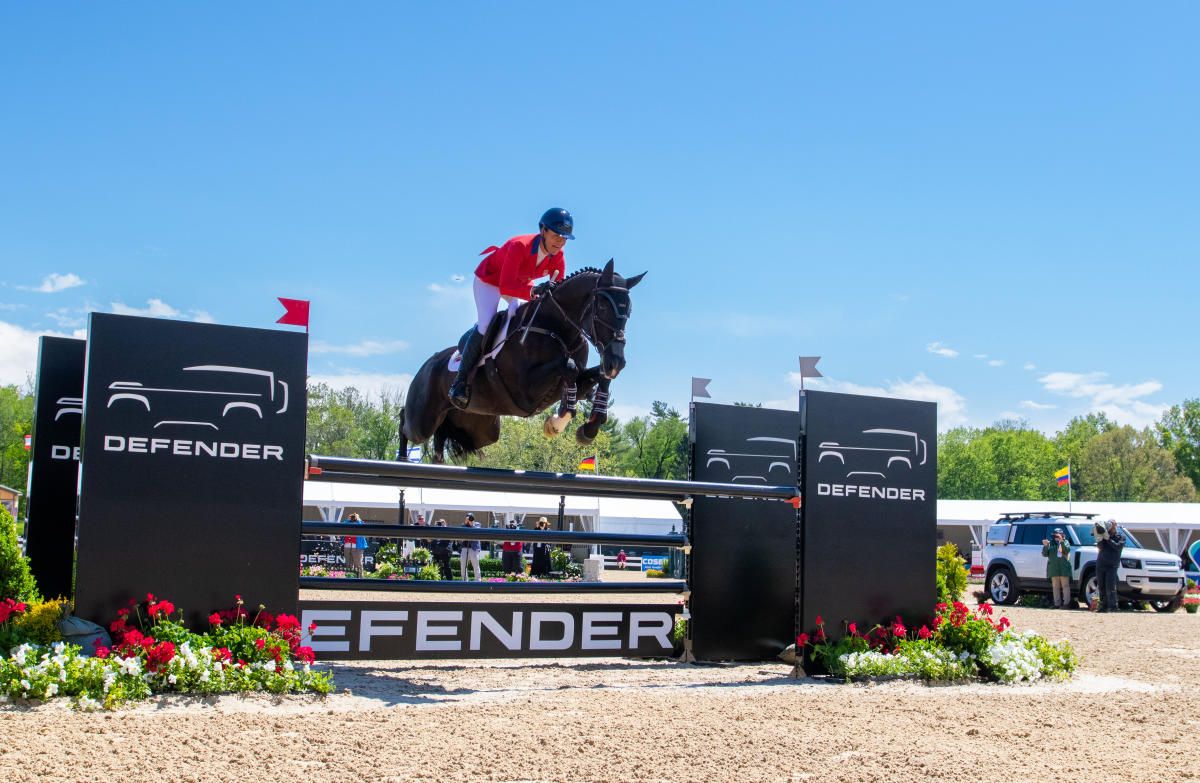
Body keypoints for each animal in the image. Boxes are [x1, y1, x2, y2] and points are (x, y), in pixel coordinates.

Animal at [398, 259, 644, 463]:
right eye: (601, 307)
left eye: (630, 311)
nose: (616, 361)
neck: (557, 328)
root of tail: (427, 364)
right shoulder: (525, 390)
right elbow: (569, 367)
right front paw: (557, 421)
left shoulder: (580, 381)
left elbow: (598, 377)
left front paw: (590, 427)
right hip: (423, 420)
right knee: (405, 422)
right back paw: (402, 458)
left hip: (481, 429)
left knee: (443, 439)